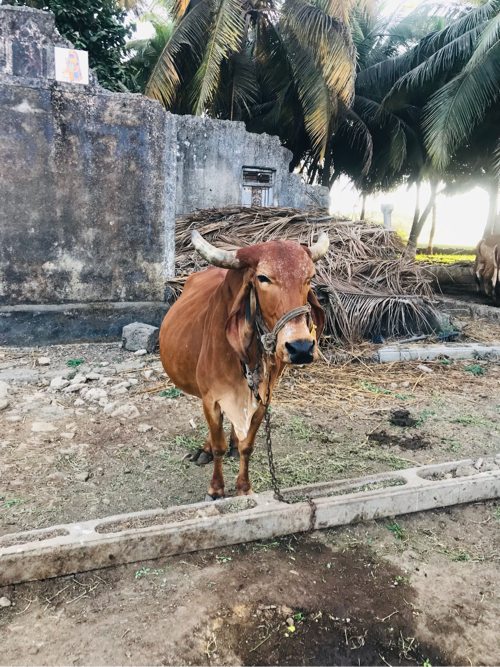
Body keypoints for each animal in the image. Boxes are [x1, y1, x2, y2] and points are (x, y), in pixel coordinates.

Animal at [159, 232, 328, 498]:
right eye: (263, 278)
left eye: (309, 277)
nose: (301, 348)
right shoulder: (211, 399)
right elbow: (218, 446)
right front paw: (216, 488)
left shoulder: (263, 400)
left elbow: (248, 446)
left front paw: (244, 487)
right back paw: (206, 449)